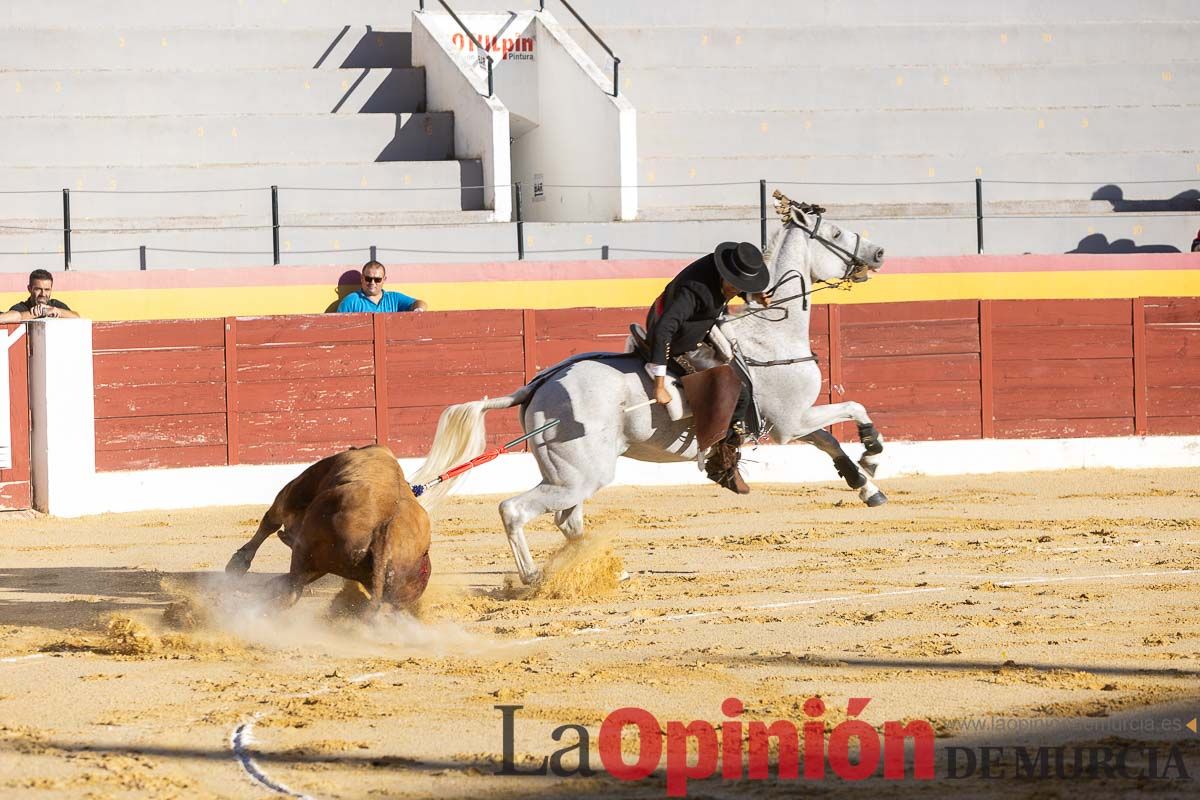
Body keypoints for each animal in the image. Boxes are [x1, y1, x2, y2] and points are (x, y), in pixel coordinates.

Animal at [225, 443, 432, 614]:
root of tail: (383, 532)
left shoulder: (296, 490)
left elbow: (270, 521)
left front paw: (238, 563)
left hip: (307, 547)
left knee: (292, 591)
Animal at [422, 194, 892, 582]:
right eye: (835, 233)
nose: (879, 252)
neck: (772, 335)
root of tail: (540, 386)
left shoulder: (791, 423)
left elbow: (831, 440)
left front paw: (866, 484)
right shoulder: (791, 421)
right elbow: (854, 407)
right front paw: (871, 452)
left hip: (570, 473)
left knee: (566, 521)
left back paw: (604, 569)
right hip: (581, 476)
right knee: (515, 510)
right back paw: (536, 577)